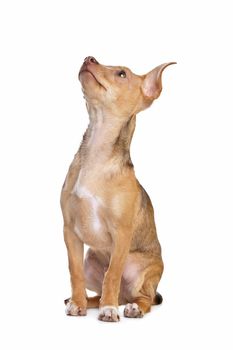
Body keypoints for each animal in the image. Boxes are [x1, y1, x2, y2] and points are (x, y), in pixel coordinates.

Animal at [61, 56, 176, 322]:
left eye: (122, 74)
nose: (89, 58)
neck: (97, 154)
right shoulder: (70, 232)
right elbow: (75, 273)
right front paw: (77, 303)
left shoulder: (121, 233)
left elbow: (112, 274)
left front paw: (109, 310)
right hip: (90, 262)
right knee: (99, 290)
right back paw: (87, 301)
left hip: (142, 271)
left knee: (144, 298)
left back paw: (129, 307)